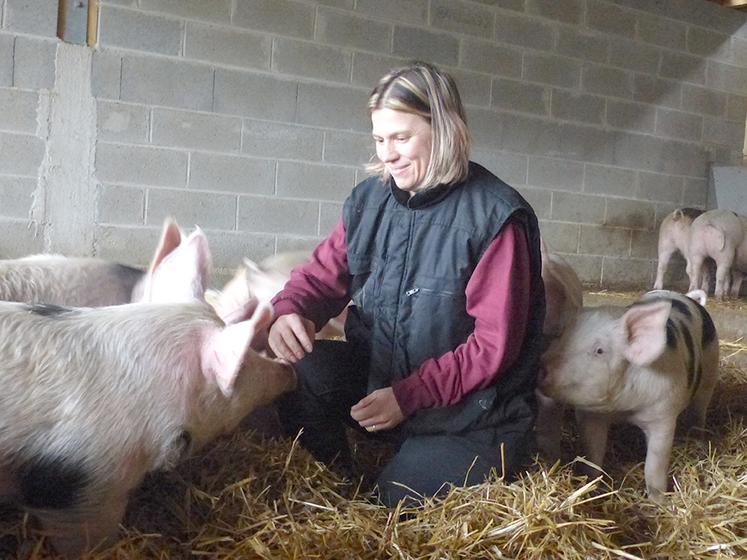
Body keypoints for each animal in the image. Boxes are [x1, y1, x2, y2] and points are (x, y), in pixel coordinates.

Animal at [539, 289, 719, 499]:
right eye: (561, 335)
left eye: (599, 350)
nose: (541, 367)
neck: (624, 408)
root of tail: (688, 297)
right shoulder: (591, 415)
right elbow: (593, 453)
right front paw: (591, 485)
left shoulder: (663, 415)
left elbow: (654, 466)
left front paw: (658, 502)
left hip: (710, 372)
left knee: (700, 410)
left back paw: (699, 443)